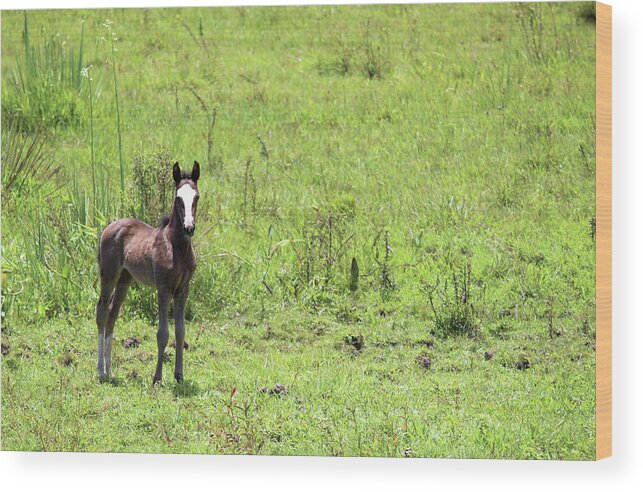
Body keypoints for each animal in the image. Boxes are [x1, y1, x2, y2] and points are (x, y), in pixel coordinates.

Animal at [97, 161, 199, 384]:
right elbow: (162, 333)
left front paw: (179, 375)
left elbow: (180, 332)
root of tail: (109, 227)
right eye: (178, 197)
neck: (177, 247)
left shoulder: (183, 290)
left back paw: (110, 371)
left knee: (112, 313)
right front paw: (157, 377)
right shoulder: (164, 289)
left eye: (196, 196)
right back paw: (100, 371)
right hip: (109, 274)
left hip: (125, 279)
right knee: (101, 312)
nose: (189, 227)